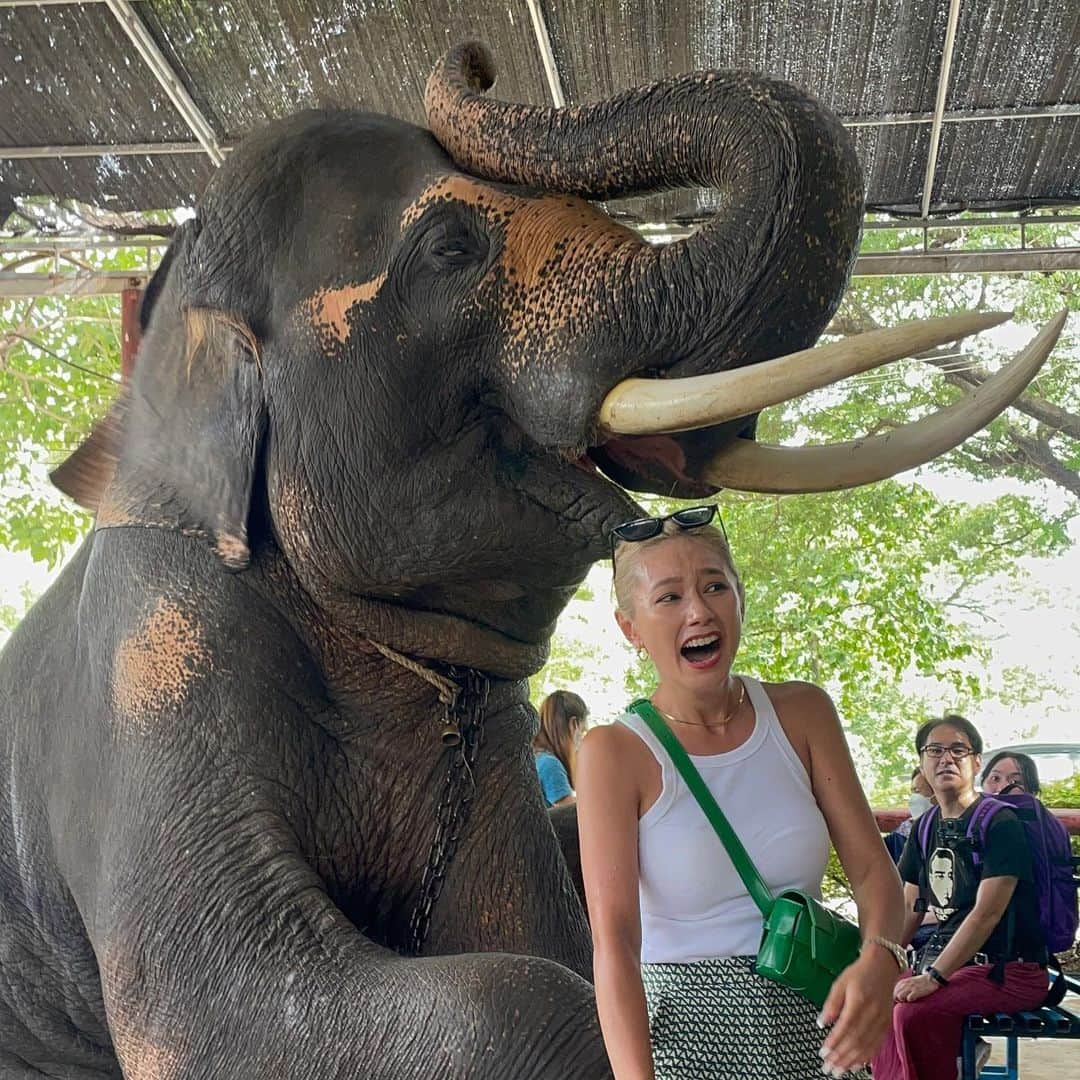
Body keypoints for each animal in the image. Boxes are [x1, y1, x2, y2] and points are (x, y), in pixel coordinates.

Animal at [0, 42, 1062, 1080]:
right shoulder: (147, 679)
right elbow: (220, 1010)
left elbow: (542, 938)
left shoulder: (501, 761)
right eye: (450, 248)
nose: (475, 58)